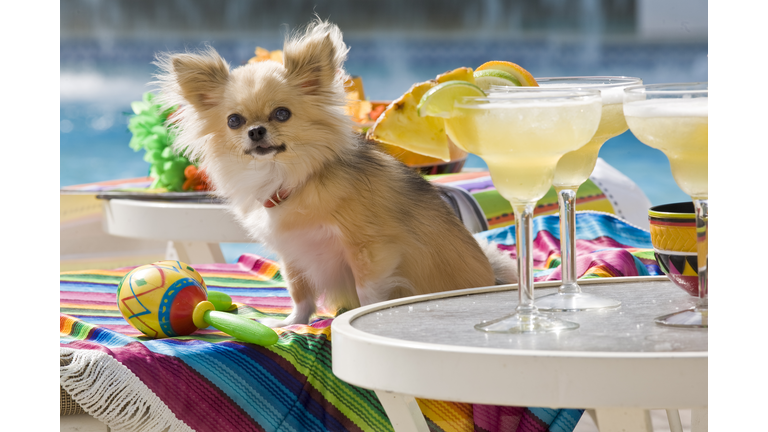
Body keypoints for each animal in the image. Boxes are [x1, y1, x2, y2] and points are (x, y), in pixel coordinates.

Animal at [155, 18, 516, 326]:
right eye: (234, 121)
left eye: (282, 114)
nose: (255, 131)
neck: (289, 178)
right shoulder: (293, 253)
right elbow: (299, 293)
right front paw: (293, 323)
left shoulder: (370, 250)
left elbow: (367, 293)